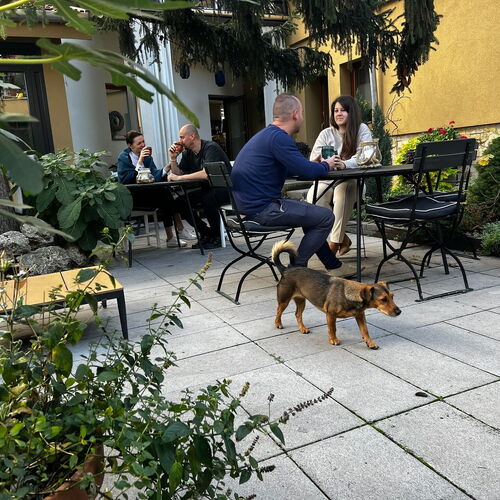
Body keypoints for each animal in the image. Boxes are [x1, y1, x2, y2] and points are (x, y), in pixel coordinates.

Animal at [271, 241, 401, 349]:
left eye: (392, 297)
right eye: (383, 299)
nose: (399, 312)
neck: (349, 294)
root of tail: (286, 270)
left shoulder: (360, 316)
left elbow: (365, 331)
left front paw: (370, 343)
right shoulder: (330, 314)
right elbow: (333, 329)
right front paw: (333, 340)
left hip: (301, 301)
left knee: (297, 314)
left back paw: (302, 328)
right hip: (284, 300)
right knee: (278, 312)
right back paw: (278, 324)